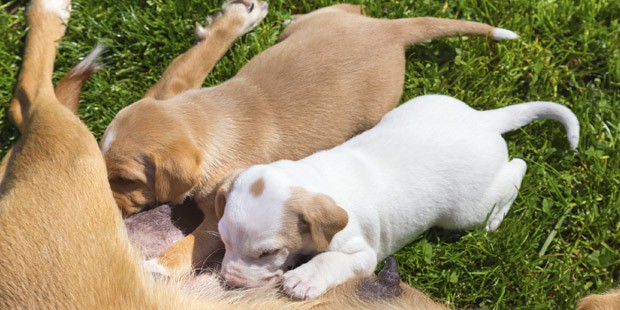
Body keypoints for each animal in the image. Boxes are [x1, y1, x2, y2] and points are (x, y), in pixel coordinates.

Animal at [101, 1, 520, 274]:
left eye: (125, 180)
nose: (108, 210)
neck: (208, 120)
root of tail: (390, 31)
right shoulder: (174, 89)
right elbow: (193, 59)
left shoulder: (219, 210)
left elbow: (194, 243)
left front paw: (156, 267)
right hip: (324, 23)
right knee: (348, 7)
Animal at [214, 95, 580, 300]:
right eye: (224, 241)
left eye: (268, 253)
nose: (228, 280)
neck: (312, 178)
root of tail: (482, 119)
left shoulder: (361, 254)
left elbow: (329, 261)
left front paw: (305, 278)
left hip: (468, 211)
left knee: (516, 169)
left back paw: (497, 217)